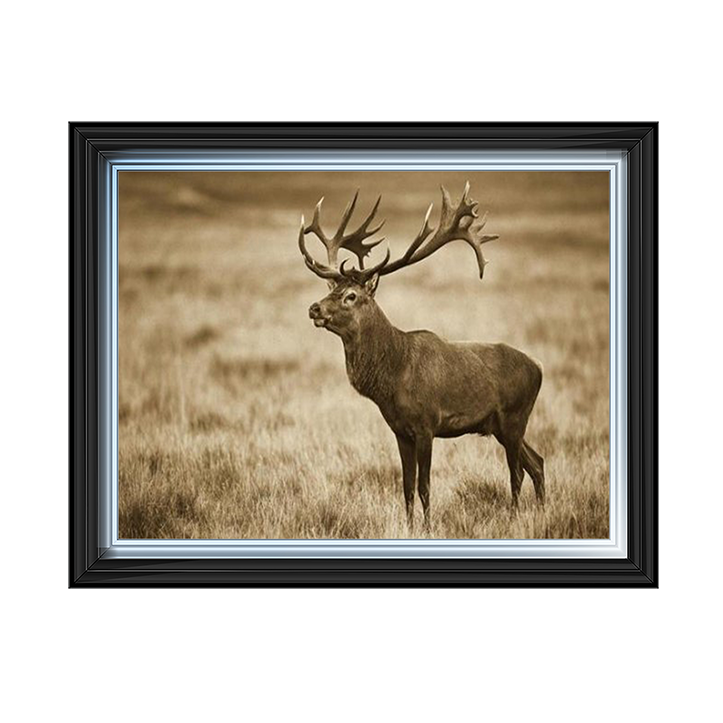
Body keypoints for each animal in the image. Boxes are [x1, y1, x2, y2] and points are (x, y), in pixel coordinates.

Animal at [298, 183, 545, 531]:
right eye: (330, 289)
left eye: (351, 296)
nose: (314, 308)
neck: (392, 377)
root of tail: (539, 369)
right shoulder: (400, 431)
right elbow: (406, 486)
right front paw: (409, 525)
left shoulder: (427, 424)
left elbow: (425, 486)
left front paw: (427, 528)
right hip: (500, 425)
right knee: (537, 462)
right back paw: (542, 512)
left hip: (514, 416)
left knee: (517, 472)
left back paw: (514, 518)